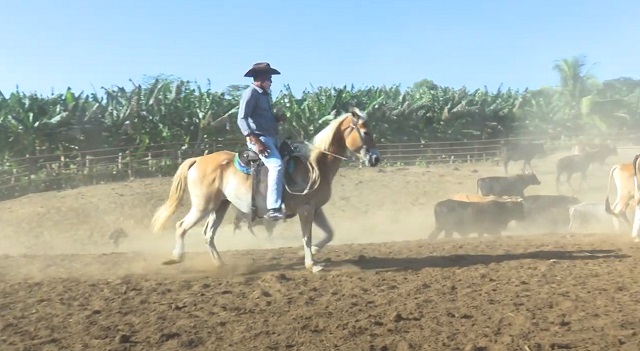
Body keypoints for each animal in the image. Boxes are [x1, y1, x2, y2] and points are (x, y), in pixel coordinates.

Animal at [150, 107, 380, 272]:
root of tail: (198, 159)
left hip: (220, 207)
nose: (376, 158)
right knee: (181, 226)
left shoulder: (315, 208)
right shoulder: (306, 209)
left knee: (208, 234)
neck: (314, 166)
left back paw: (220, 264)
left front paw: (311, 253)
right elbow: (306, 236)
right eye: (366, 132)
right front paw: (312, 264)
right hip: (202, 206)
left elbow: (330, 233)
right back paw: (177, 256)